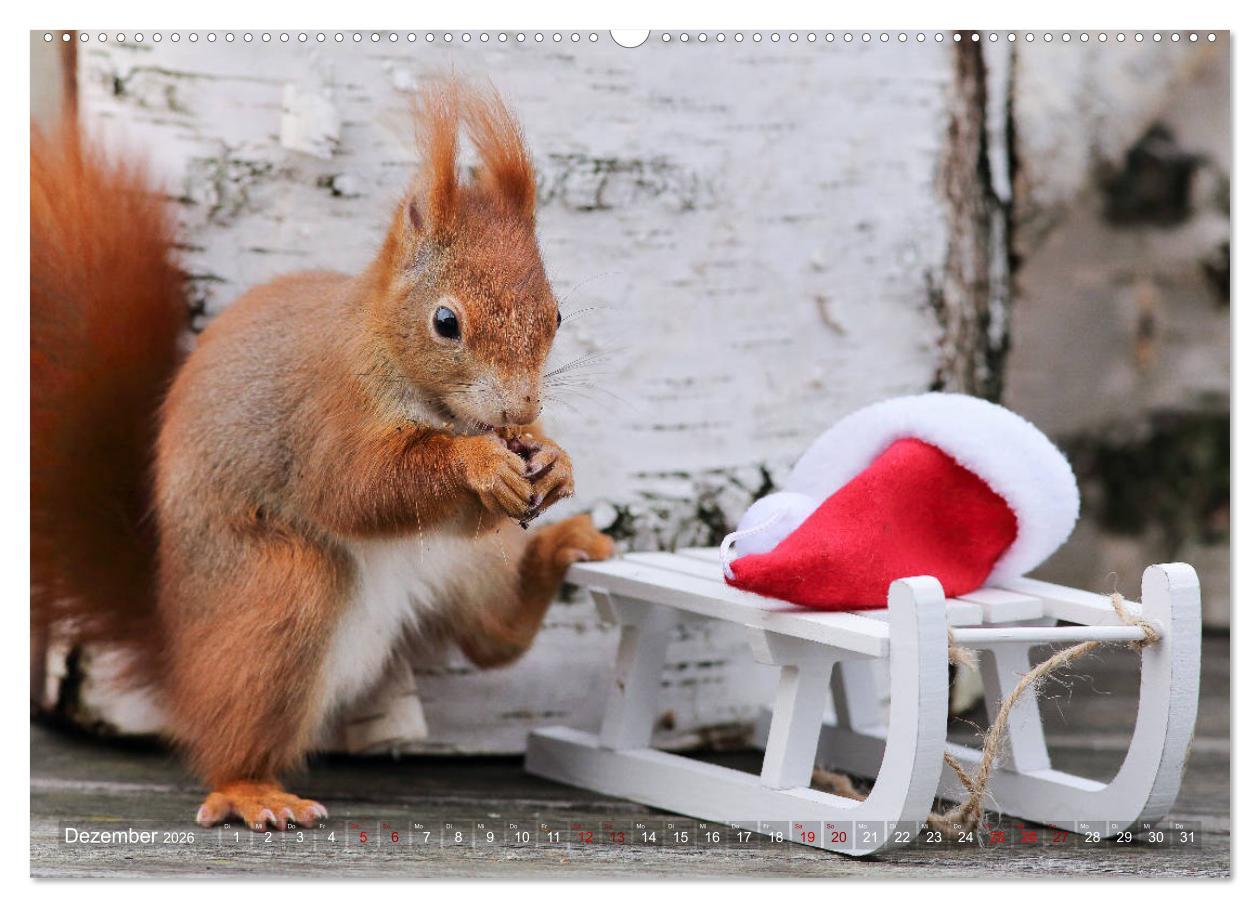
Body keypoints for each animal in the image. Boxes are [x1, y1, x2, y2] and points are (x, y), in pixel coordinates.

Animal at [31, 82, 615, 831]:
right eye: (445, 322)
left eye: (557, 316)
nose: (519, 410)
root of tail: (179, 649)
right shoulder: (325, 417)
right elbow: (357, 488)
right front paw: (477, 465)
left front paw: (556, 459)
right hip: (281, 587)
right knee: (234, 734)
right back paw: (252, 792)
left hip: (471, 565)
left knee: (494, 638)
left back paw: (559, 550)